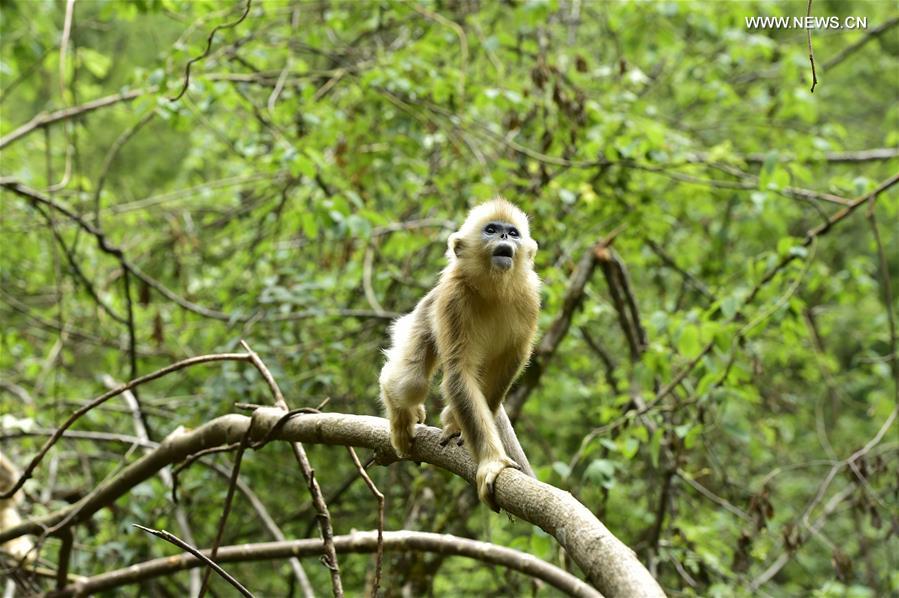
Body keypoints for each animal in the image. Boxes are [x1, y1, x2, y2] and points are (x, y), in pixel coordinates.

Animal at [380, 200, 540, 510]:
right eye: (491, 230)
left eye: (513, 232)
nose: (504, 237)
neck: (494, 289)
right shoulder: (453, 298)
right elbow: (458, 372)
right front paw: (492, 463)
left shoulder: (529, 299)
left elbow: (509, 364)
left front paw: (456, 425)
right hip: (420, 321)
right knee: (409, 383)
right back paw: (401, 417)